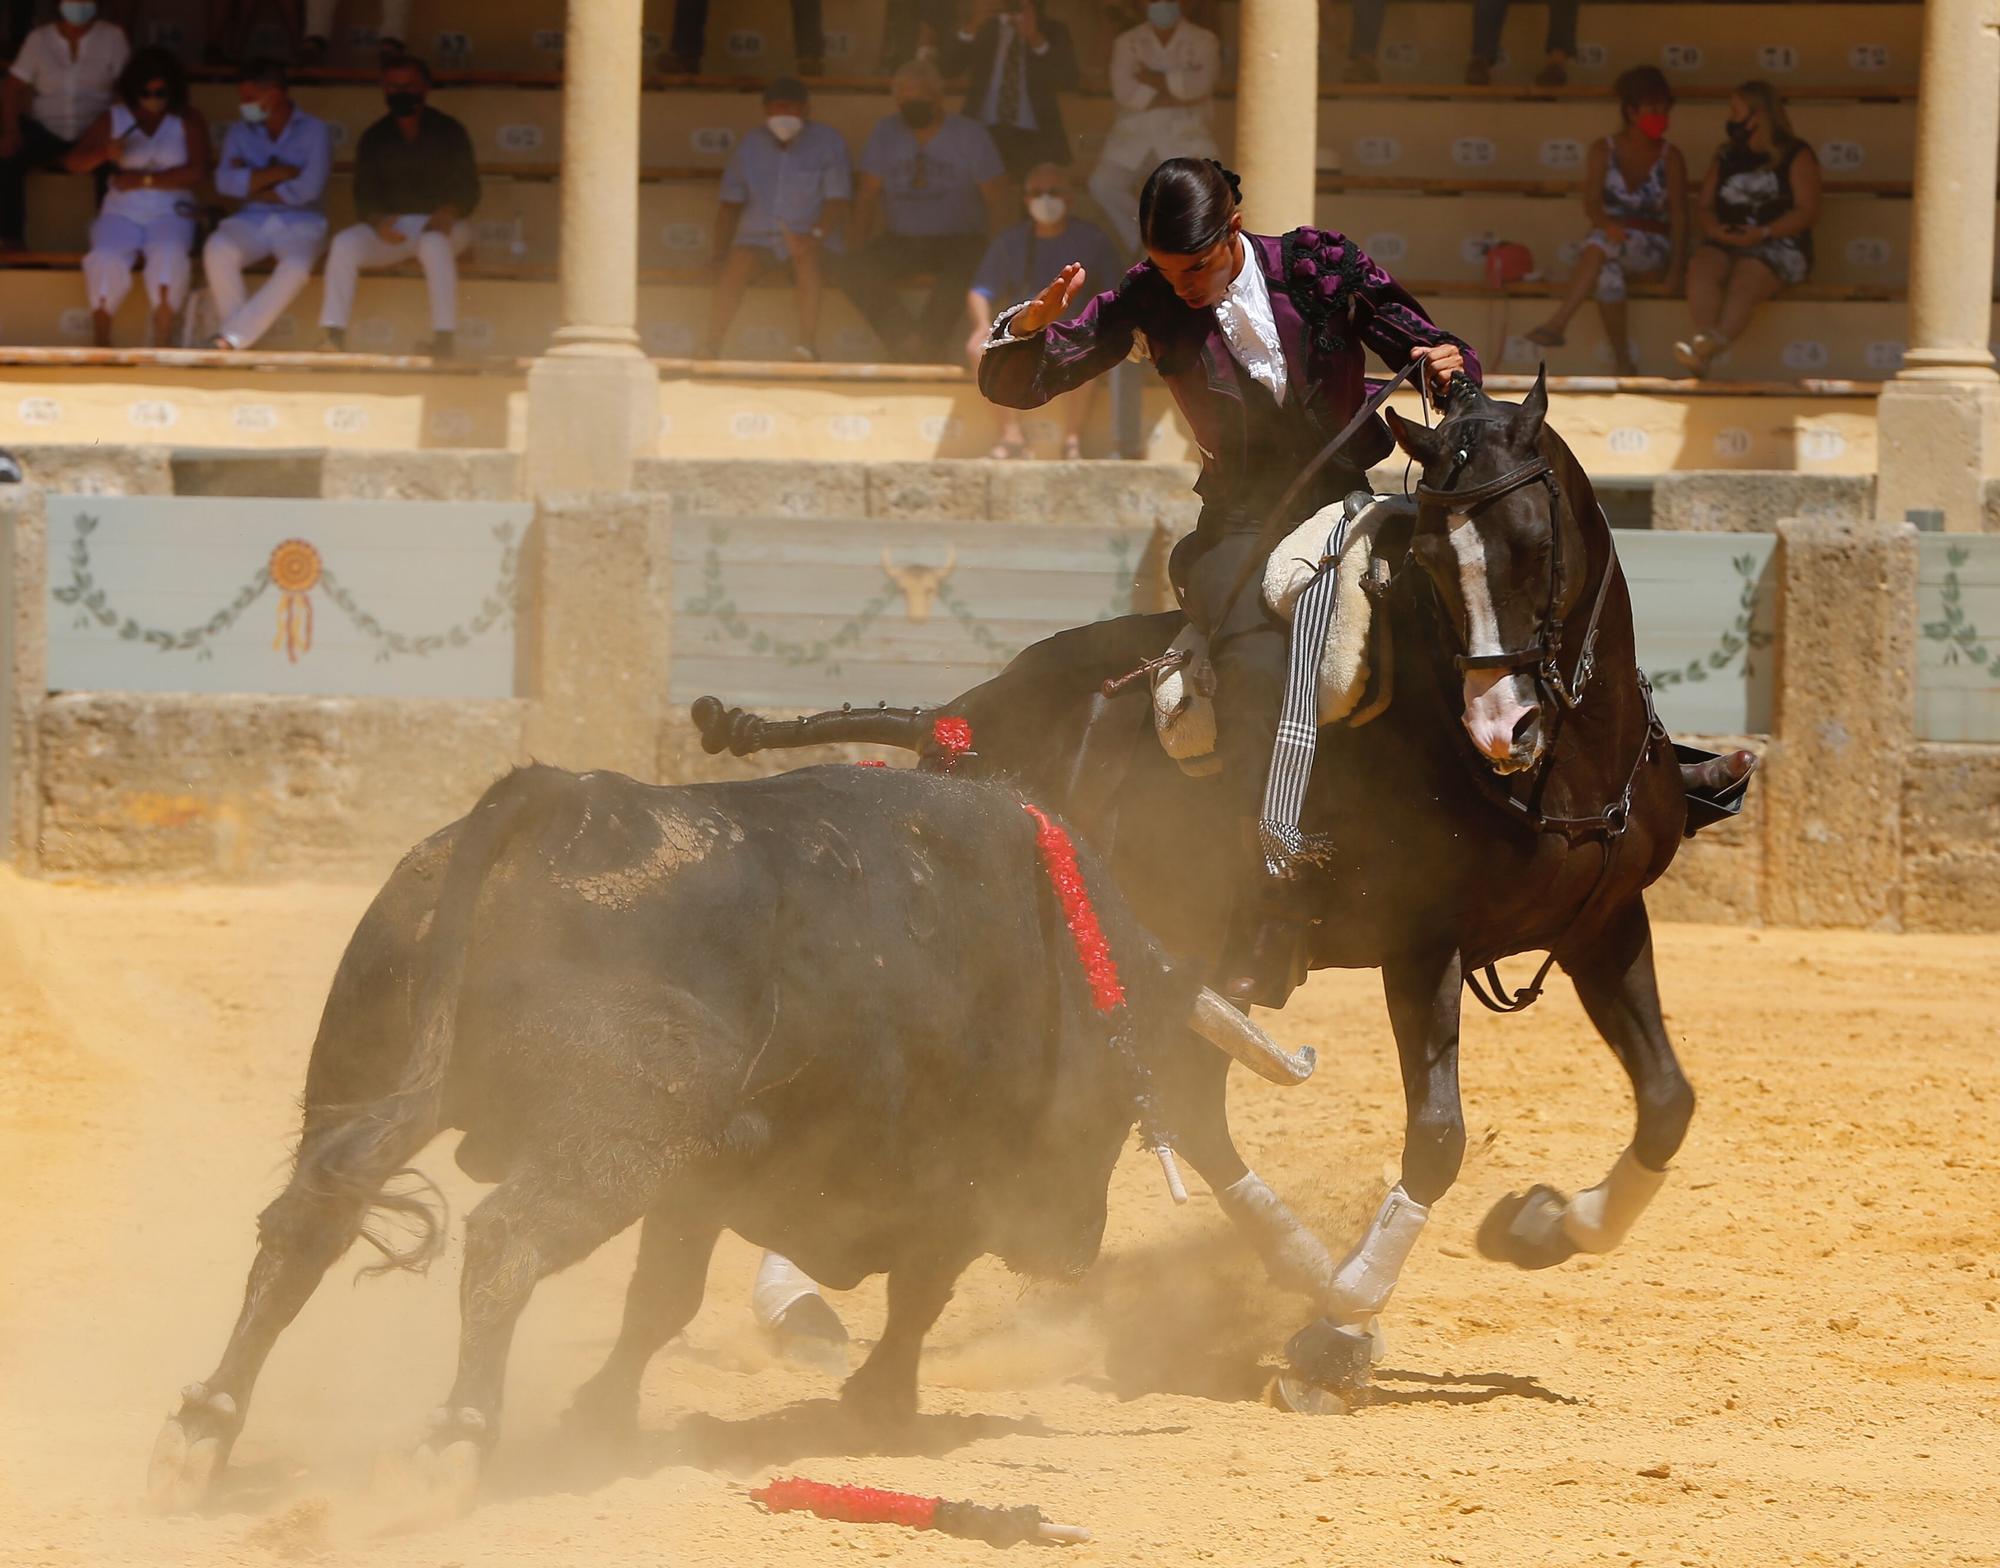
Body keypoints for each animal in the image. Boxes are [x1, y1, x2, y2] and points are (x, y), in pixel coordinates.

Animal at [152, 760, 1312, 1504]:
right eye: (1127, 1097)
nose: (1072, 1249)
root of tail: (563, 799)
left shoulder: (702, 1182)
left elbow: (660, 1302)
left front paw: (599, 1413)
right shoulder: (944, 1191)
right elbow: (917, 1297)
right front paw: (880, 1401)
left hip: (359, 1078)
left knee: (305, 1224)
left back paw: (203, 1427)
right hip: (613, 1143)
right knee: (503, 1242)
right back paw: (454, 1440)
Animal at [692, 370, 1752, 1384]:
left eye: (1534, 542)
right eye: (1433, 563)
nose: (1503, 727)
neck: (1555, 772)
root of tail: (962, 719)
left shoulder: (1606, 922)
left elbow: (1668, 1103)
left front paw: (1540, 1225)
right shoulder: (1422, 947)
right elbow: (1439, 1135)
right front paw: (1341, 1320)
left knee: (1173, 1097)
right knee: (1148, 1102)